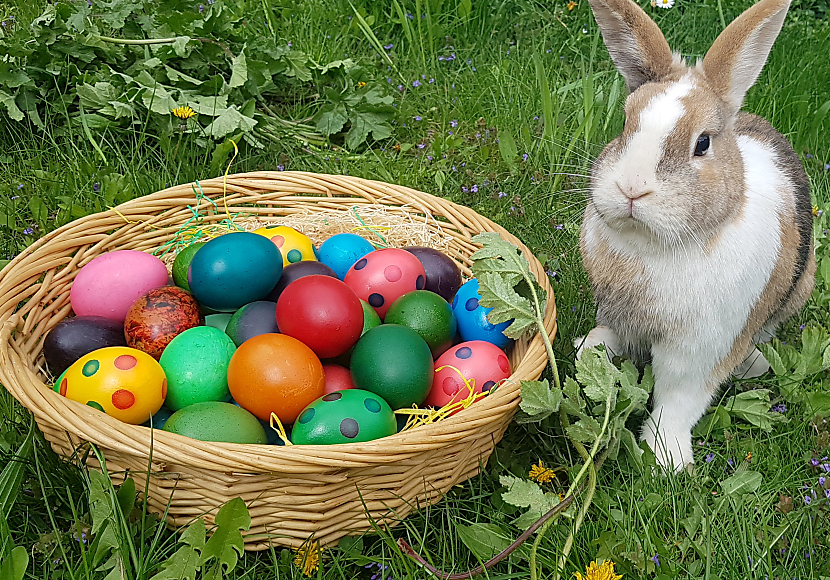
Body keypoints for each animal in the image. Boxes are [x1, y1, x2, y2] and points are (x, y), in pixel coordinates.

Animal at [577, 0, 815, 472]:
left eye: (702, 143)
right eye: (624, 123)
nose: (631, 188)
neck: (655, 246)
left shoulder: (700, 349)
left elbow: (678, 399)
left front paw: (666, 459)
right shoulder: (616, 312)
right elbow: (609, 336)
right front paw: (585, 353)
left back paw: (754, 364)